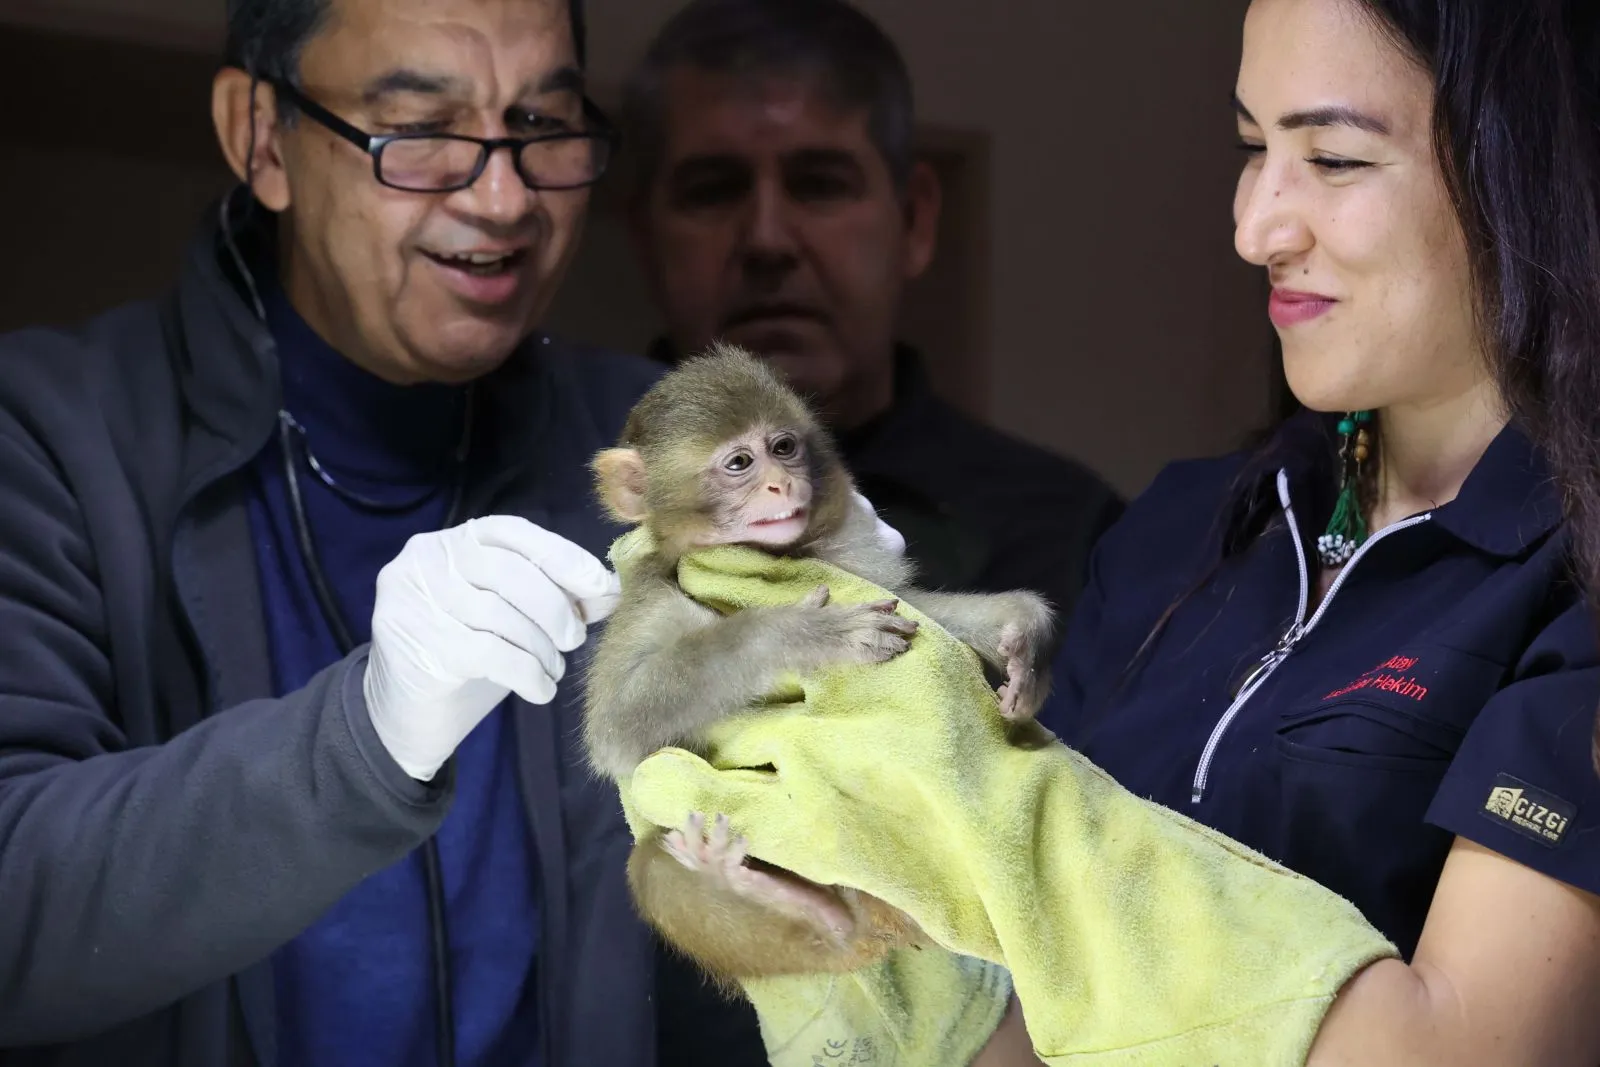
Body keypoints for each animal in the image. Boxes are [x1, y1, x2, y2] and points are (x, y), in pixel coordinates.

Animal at [582, 348, 1056, 991]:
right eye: (739, 463)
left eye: (783, 447)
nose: (782, 481)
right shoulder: (651, 601)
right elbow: (619, 729)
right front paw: (799, 636)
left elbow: (918, 610)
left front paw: (1023, 634)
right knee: (655, 862)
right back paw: (757, 887)